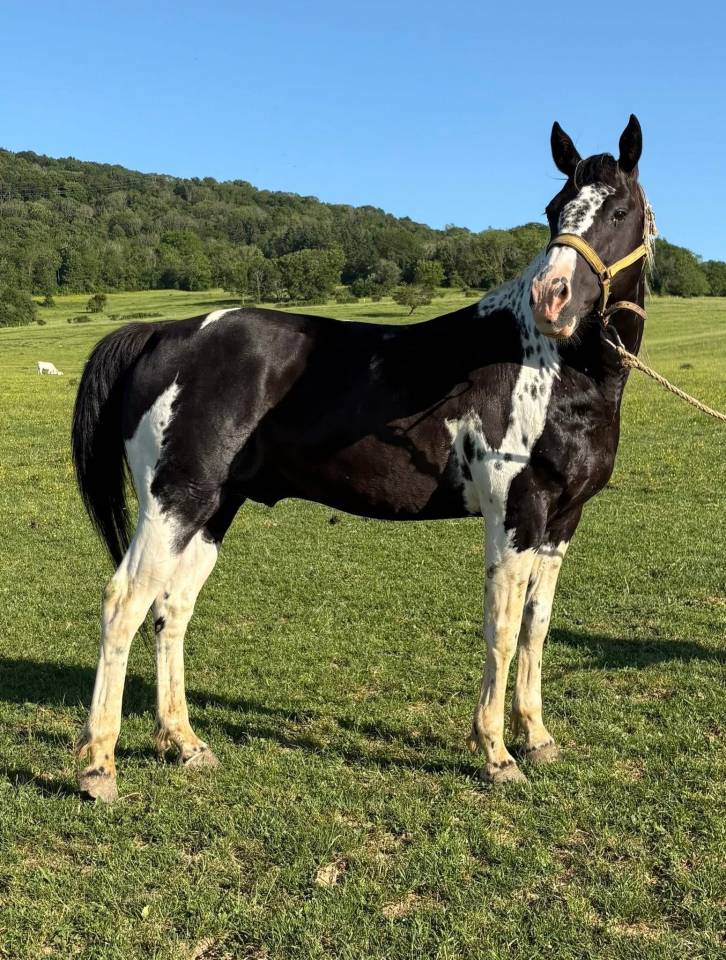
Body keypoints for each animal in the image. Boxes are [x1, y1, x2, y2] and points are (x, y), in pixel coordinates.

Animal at [71, 115, 655, 801]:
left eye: (618, 210)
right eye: (554, 208)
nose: (551, 297)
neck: (551, 366)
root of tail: (165, 334)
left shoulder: (561, 522)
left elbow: (537, 626)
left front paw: (536, 738)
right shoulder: (515, 514)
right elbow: (503, 629)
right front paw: (496, 753)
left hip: (210, 511)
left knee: (172, 610)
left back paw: (185, 744)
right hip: (173, 503)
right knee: (124, 604)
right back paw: (98, 767)